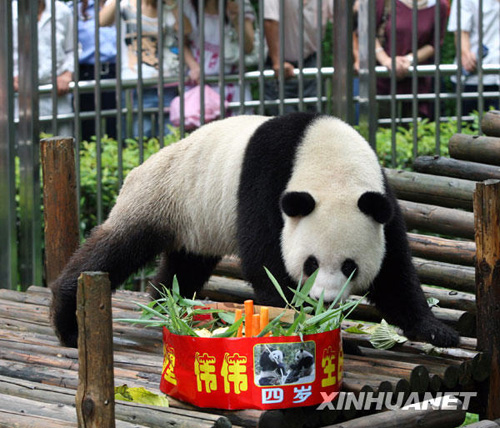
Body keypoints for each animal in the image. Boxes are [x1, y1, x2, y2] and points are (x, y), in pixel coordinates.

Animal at [51, 113, 460, 348]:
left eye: (349, 267)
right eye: (311, 264)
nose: (325, 301)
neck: (330, 161)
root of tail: (139, 167)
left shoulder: (380, 200)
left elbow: (394, 271)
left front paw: (436, 330)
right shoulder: (267, 183)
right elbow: (266, 260)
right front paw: (303, 322)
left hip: (197, 219)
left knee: (185, 267)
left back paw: (167, 307)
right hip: (164, 195)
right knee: (114, 250)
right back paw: (68, 319)